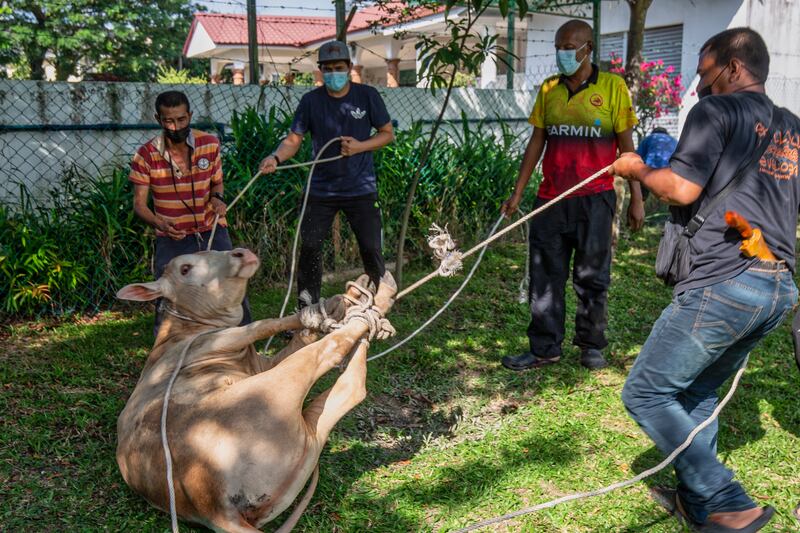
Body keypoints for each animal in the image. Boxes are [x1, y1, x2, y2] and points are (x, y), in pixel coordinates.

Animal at [115, 249, 396, 532]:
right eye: (185, 268)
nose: (241, 252)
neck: (181, 330)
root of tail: (213, 508)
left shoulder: (261, 362)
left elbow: (298, 338)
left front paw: (329, 309)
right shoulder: (219, 340)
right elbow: (261, 325)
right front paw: (322, 310)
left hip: (305, 444)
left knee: (343, 392)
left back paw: (365, 297)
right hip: (272, 391)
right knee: (339, 365)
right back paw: (374, 301)